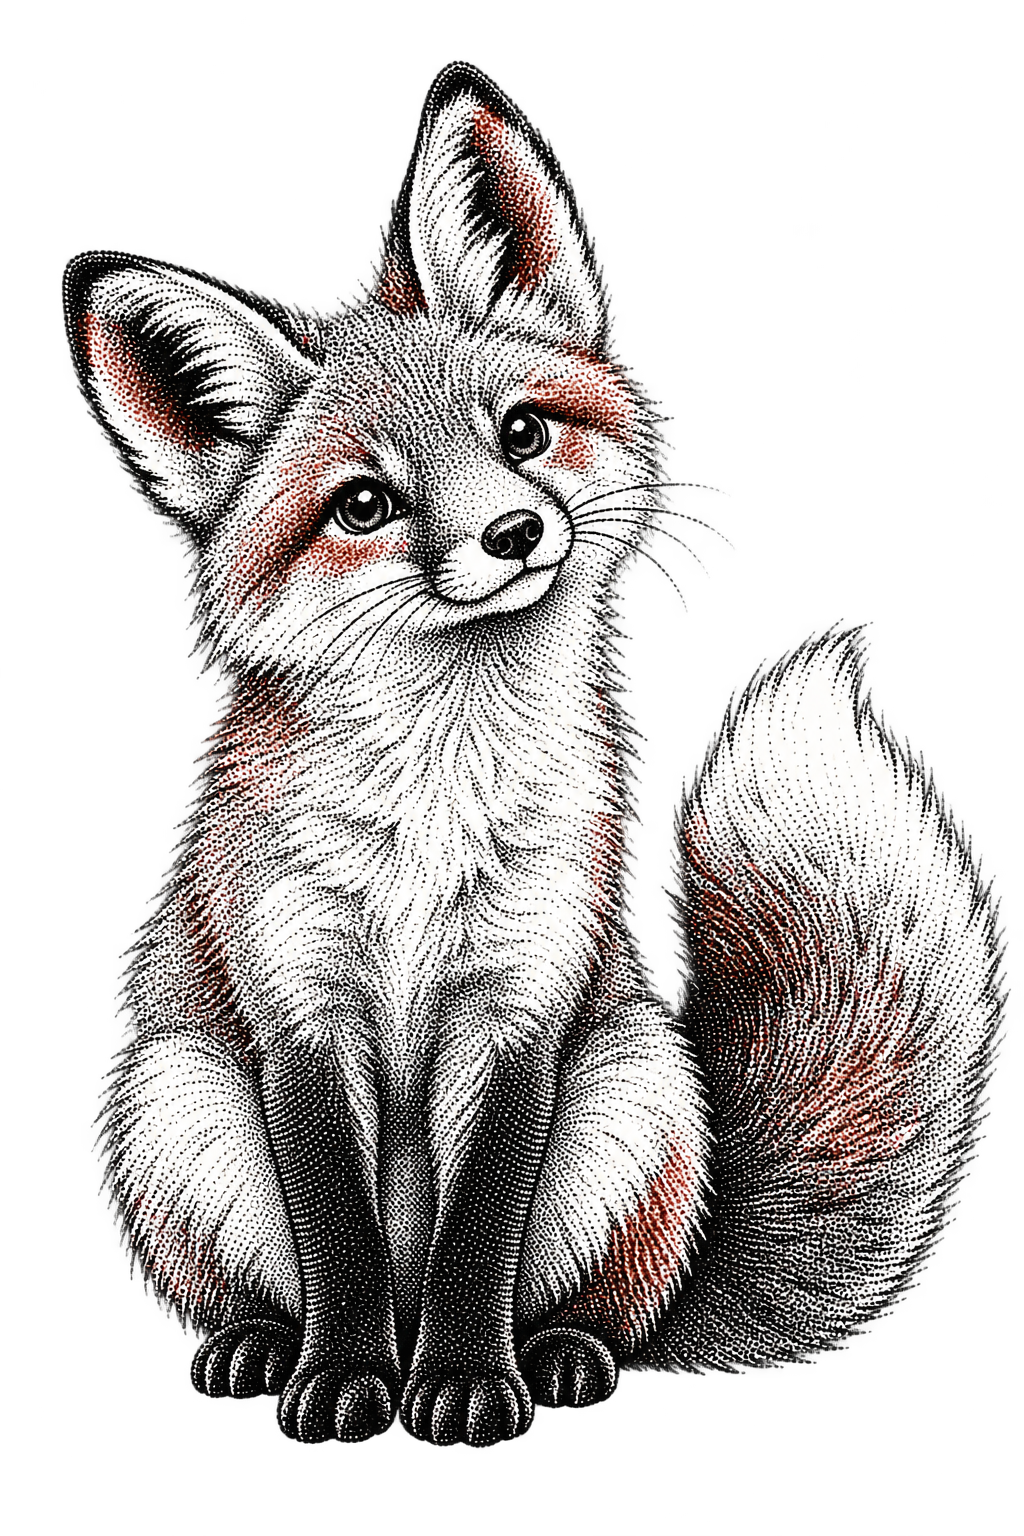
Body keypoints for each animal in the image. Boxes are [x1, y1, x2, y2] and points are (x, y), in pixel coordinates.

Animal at [65, 63, 999, 1446]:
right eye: (363, 504)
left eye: (519, 433)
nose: (513, 532)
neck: (435, 814)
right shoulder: (300, 1013)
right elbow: (338, 1239)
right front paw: (344, 1378)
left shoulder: (522, 1007)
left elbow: (476, 1238)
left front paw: (460, 1382)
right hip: (180, 1099)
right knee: (283, 1277)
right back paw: (266, 1344)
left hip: (634, 1095)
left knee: (605, 1312)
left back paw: (554, 1351)